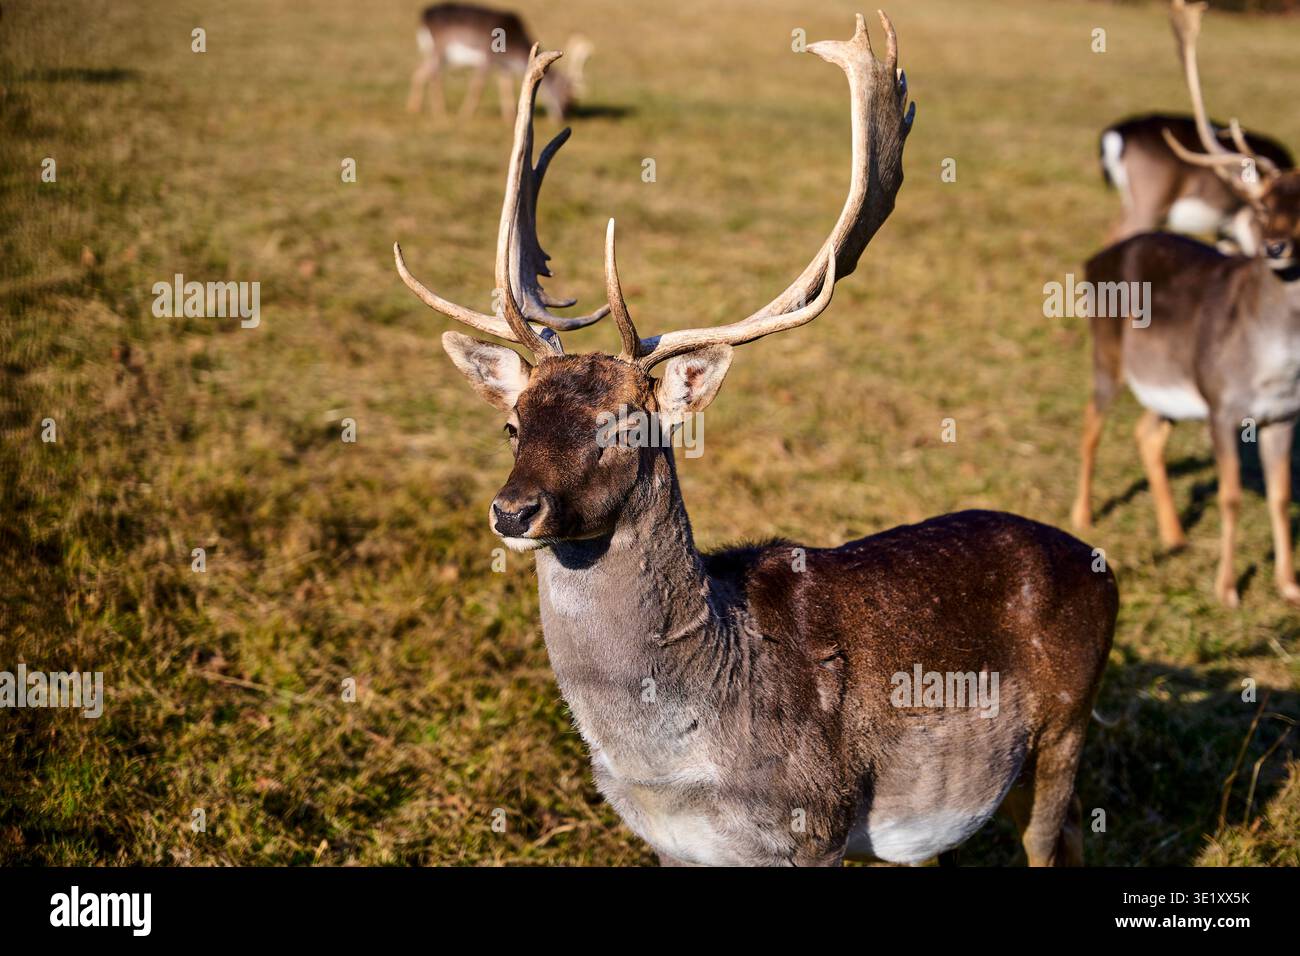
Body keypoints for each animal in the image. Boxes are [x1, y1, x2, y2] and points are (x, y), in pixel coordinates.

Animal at [394, 15, 1118, 867]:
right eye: (513, 422)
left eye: (623, 425)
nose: (513, 511)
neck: (674, 768)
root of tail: (1105, 566)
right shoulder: (669, 844)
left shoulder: (816, 821)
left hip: (1065, 727)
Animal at [406, 3, 590, 121]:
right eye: (565, 95)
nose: (564, 116)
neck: (513, 51)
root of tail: (423, 16)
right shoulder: (487, 56)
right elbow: (478, 85)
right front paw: (465, 114)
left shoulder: (503, 65)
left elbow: (505, 85)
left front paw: (509, 116)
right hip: (440, 48)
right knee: (433, 73)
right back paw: (440, 111)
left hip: (437, 53)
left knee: (420, 70)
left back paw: (414, 107)